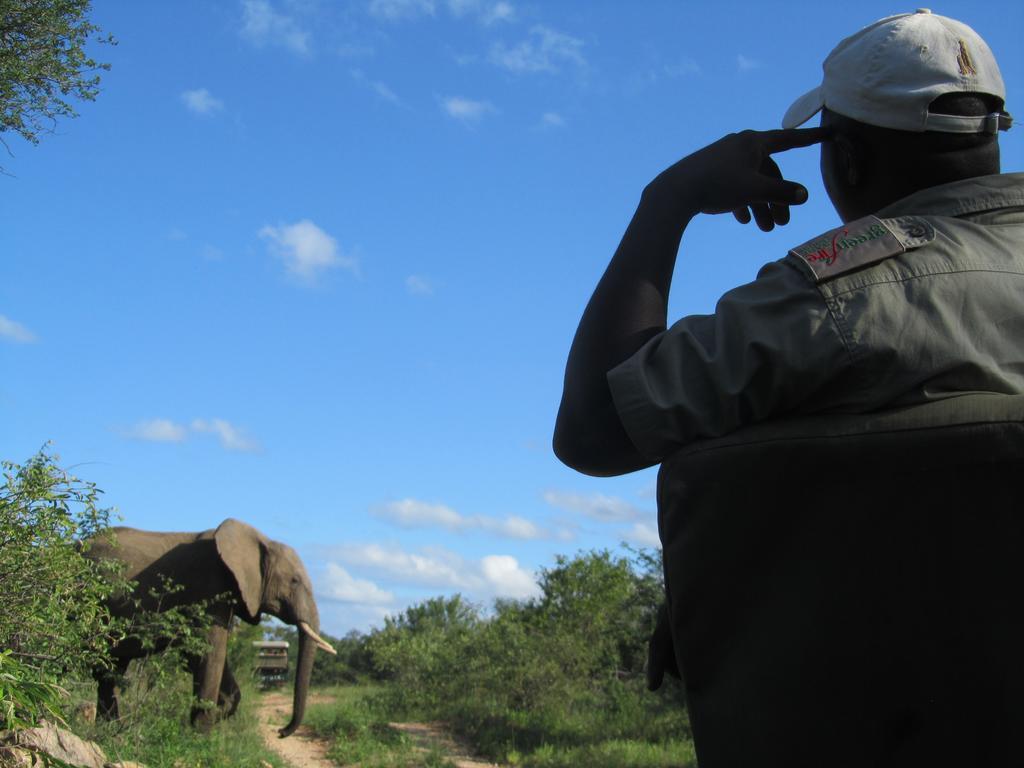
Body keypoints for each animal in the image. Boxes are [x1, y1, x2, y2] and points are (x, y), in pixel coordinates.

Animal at [84, 520, 335, 737]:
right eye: (294, 581)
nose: (280, 732)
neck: (261, 541)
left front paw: (216, 716)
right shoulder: (209, 587)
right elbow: (209, 651)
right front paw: (200, 735)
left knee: (110, 671)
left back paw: (109, 730)